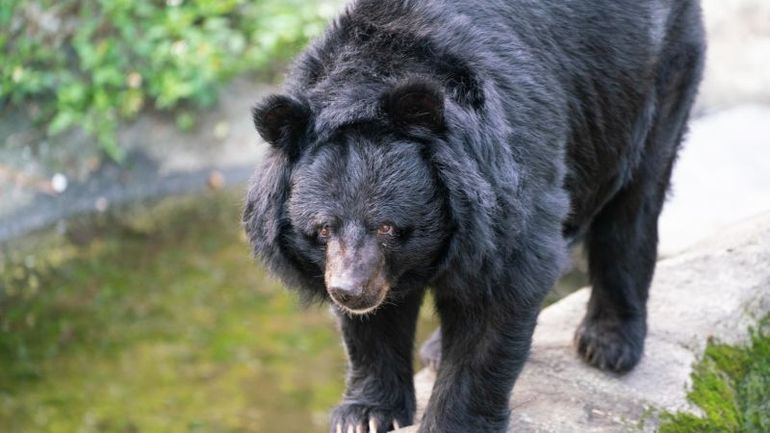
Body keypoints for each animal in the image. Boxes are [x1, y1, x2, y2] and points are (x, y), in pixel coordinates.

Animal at [243, 0, 705, 432]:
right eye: (322, 230)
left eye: (388, 227)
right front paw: (366, 415)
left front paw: (450, 421)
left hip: (653, 79)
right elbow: (373, 327)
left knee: (633, 205)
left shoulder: (508, 175)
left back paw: (608, 344)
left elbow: (501, 294)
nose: (349, 292)